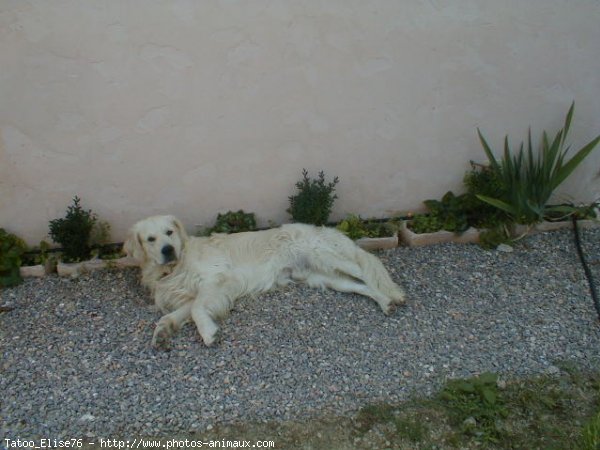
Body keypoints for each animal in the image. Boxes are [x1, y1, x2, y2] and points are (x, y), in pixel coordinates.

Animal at [125, 214, 408, 348]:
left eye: (170, 232)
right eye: (150, 239)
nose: (168, 250)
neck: (174, 267)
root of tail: (328, 229)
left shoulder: (218, 279)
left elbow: (196, 310)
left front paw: (208, 333)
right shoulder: (193, 294)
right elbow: (174, 315)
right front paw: (162, 333)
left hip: (329, 258)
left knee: (366, 272)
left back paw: (392, 296)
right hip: (325, 277)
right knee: (361, 286)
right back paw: (385, 303)